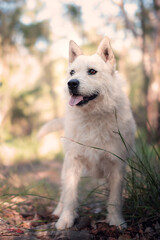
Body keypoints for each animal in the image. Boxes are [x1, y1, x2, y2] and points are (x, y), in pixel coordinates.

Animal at [44, 36, 136, 230]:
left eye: (92, 71)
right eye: (72, 72)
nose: (71, 83)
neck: (94, 116)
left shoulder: (117, 165)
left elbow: (115, 199)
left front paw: (116, 221)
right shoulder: (73, 163)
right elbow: (70, 196)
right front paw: (65, 220)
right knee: (63, 194)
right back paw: (58, 211)